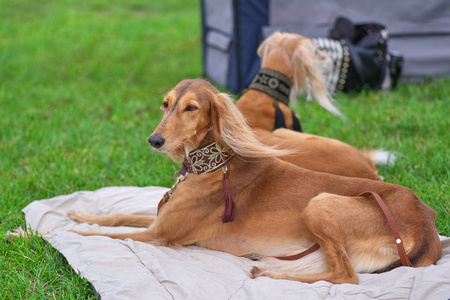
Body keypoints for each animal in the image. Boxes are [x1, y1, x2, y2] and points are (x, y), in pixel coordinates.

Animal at [68, 78, 442, 284]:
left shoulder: (159, 235)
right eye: (166, 104)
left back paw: (271, 274)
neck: (213, 167)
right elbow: (117, 216)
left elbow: (106, 236)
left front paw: (70, 230)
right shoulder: (159, 220)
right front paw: (80, 214)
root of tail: (427, 227)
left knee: (346, 277)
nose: (154, 141)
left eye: (191, 108)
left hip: (319, 204)